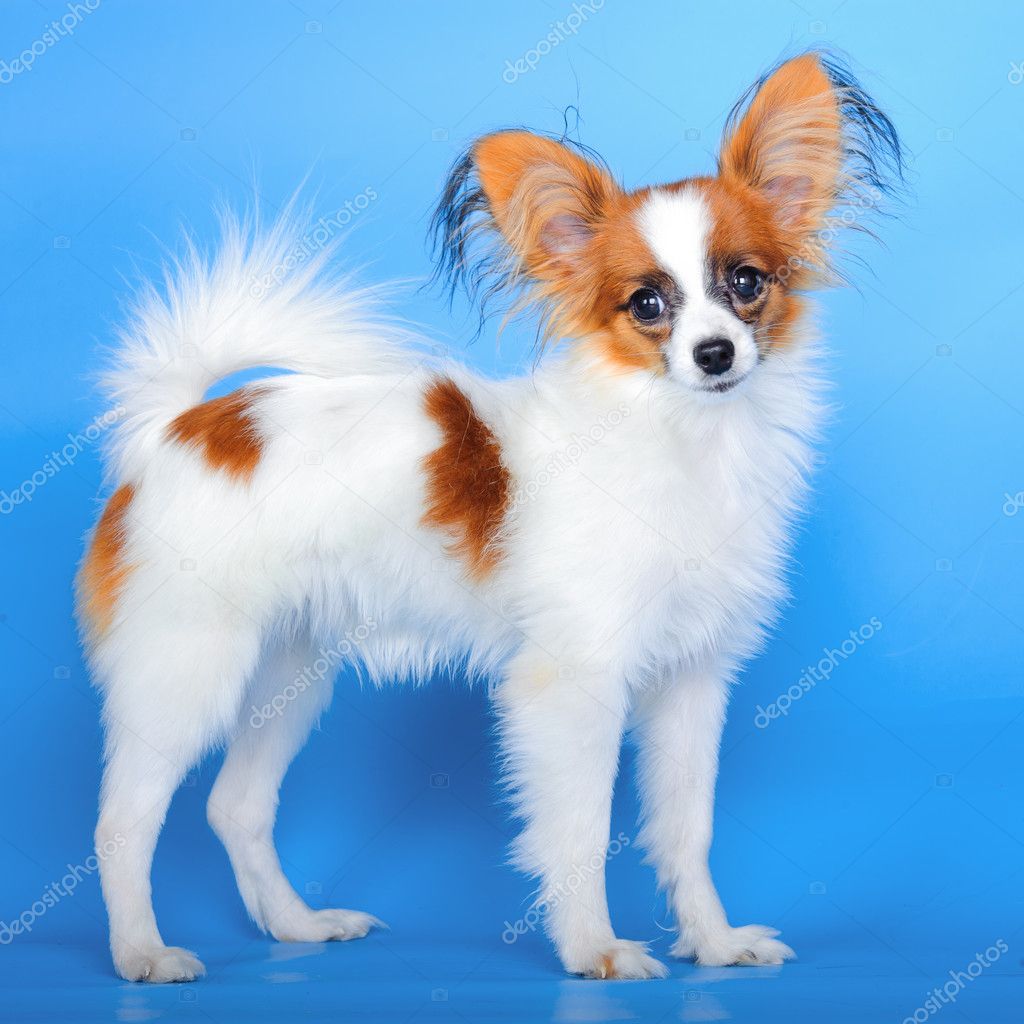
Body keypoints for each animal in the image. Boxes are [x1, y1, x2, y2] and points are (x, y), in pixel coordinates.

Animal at [77, 51, 897, 978]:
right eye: (647, 305)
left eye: (747, 282)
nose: (715, 354)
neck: (683, 436)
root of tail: (178, 425)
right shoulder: (573, 682)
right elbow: (579, 831)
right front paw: (594, 950)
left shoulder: (692, 680)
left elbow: (685, 831)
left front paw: (715, 943)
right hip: (189, 666)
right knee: (123, 821)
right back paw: (142, 953)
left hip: (288, 670)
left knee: (235, 806)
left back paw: (298, 927)